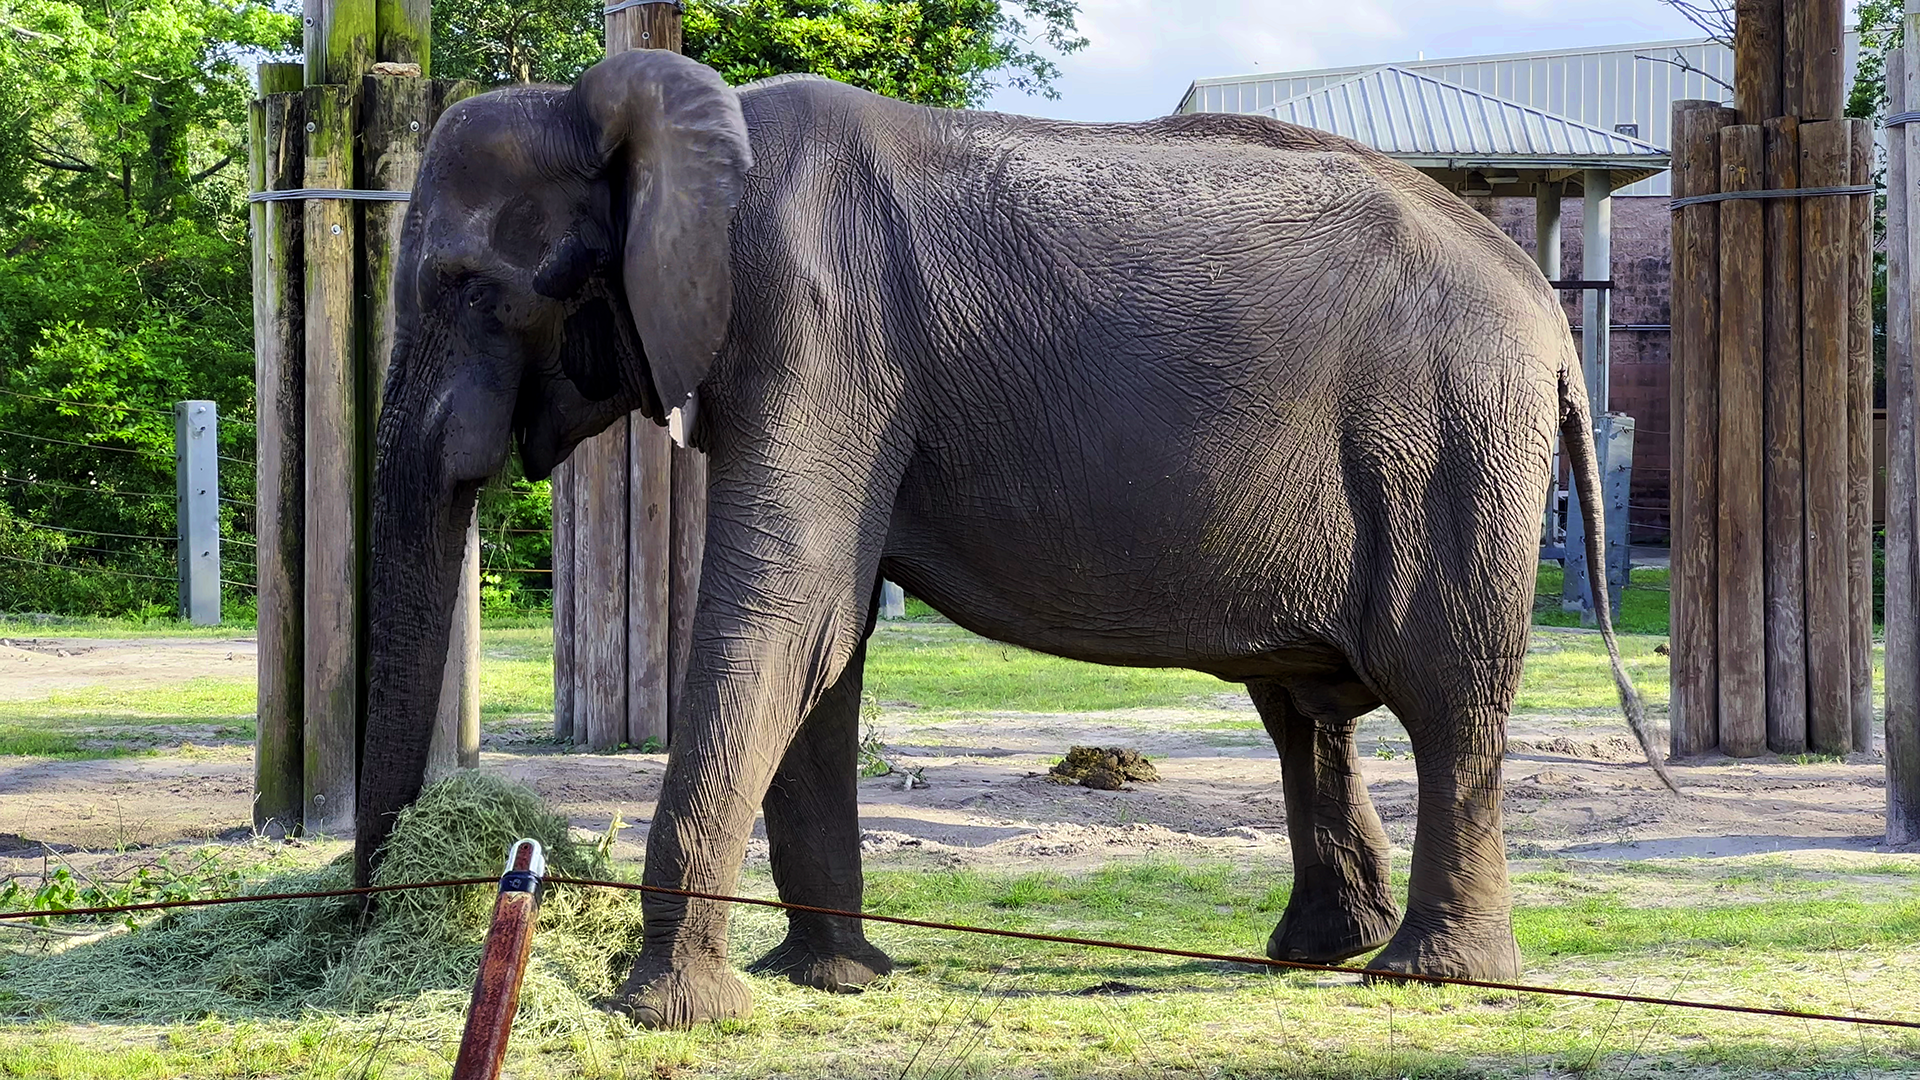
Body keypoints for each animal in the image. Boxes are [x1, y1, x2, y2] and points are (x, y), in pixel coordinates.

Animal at [354, 48, 1670, 1029]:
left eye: (472, 286)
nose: (361, 911)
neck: (666, 115)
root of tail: (1549, 312)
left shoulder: (818, 328)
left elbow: (785, 611)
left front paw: (668, 1011)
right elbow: (822, 639)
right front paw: (832, 983)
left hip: (1453, 446)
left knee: (1445, 697)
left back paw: (1431, 977)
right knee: (1304, 708)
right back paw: (1307, 956)